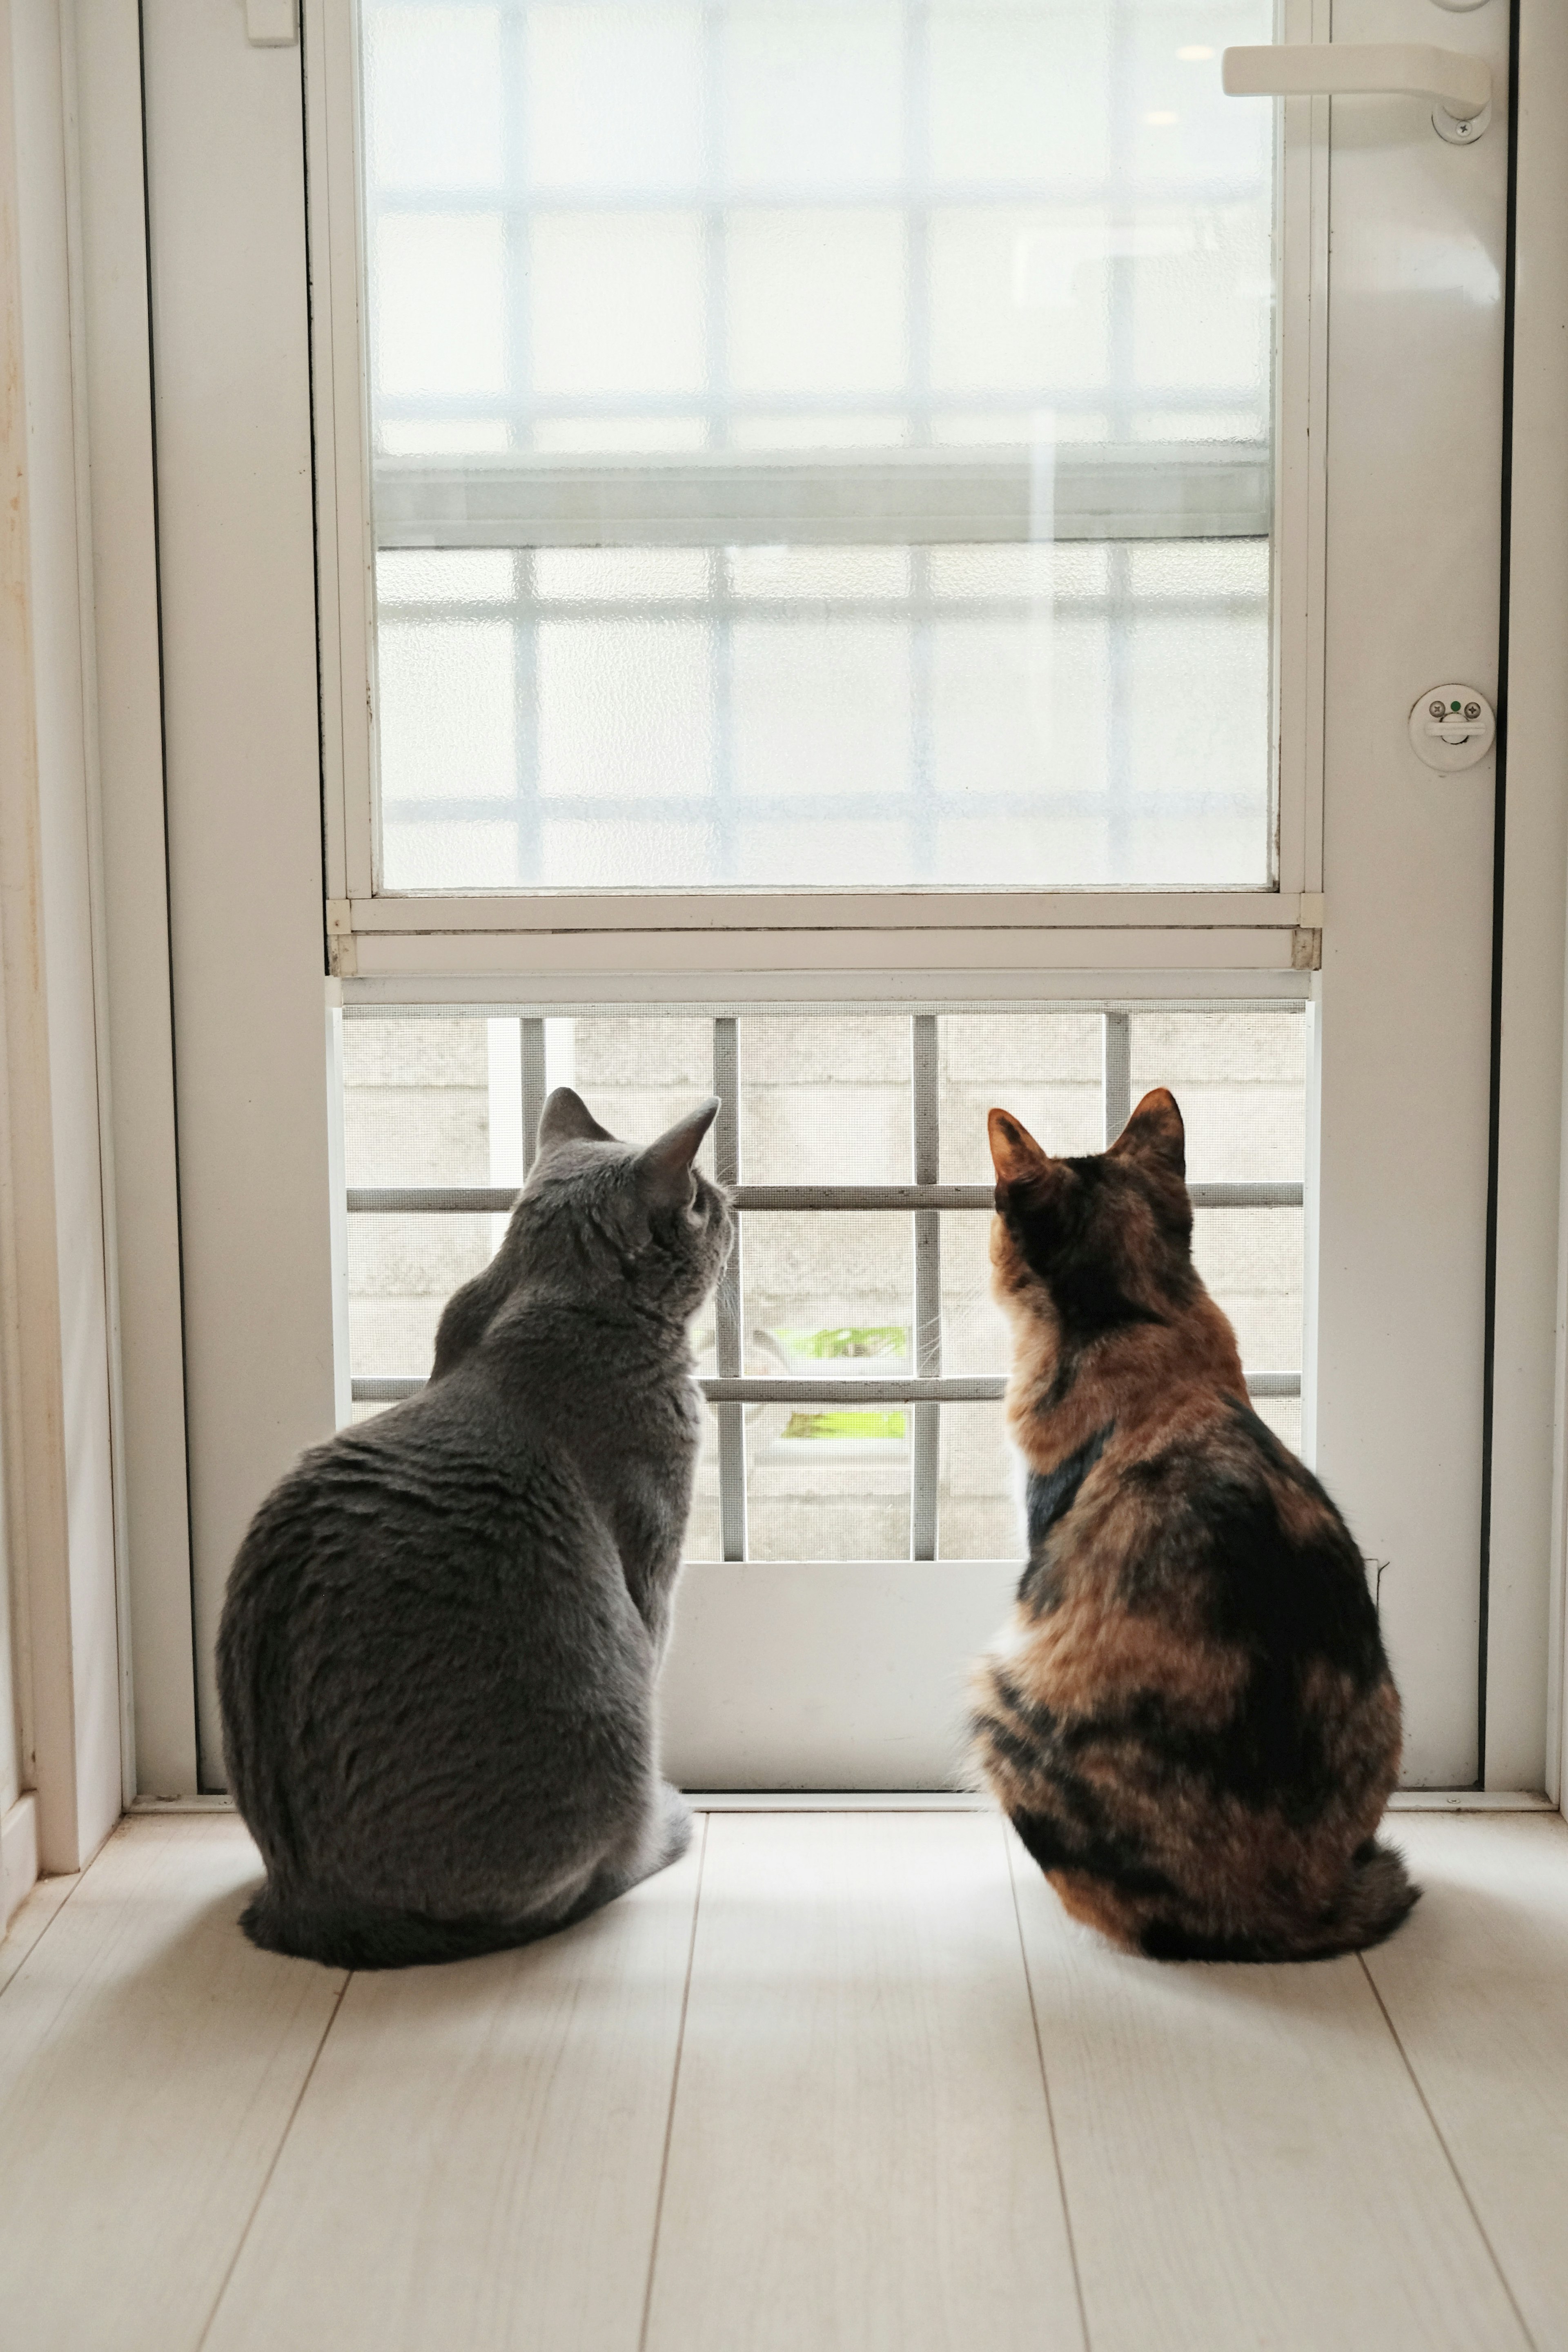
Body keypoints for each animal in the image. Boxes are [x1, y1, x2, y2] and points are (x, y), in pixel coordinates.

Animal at [215, 1091, 728, 1976]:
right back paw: (652, 1839)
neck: (539, 1296)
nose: (737, 1207)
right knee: (567, 1887)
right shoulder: (651, 1559)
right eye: (711, 1203)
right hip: (611, 1721)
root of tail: (307, 1906)